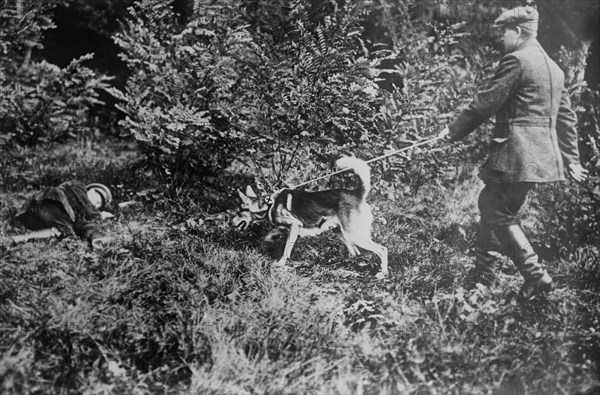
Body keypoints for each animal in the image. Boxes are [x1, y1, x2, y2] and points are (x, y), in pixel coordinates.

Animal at [230, 158, 390, 278]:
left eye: (240, 209)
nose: (231, 222)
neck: (270, 203)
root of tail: (357, 194)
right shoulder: (286, 229)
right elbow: (270, 235)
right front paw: (266, 243)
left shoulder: (295, 225)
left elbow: (287, 249)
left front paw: (281, 263)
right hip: (340, 232)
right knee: (355, 252)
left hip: (353, 234)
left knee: (381, 249)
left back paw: (383, 273)